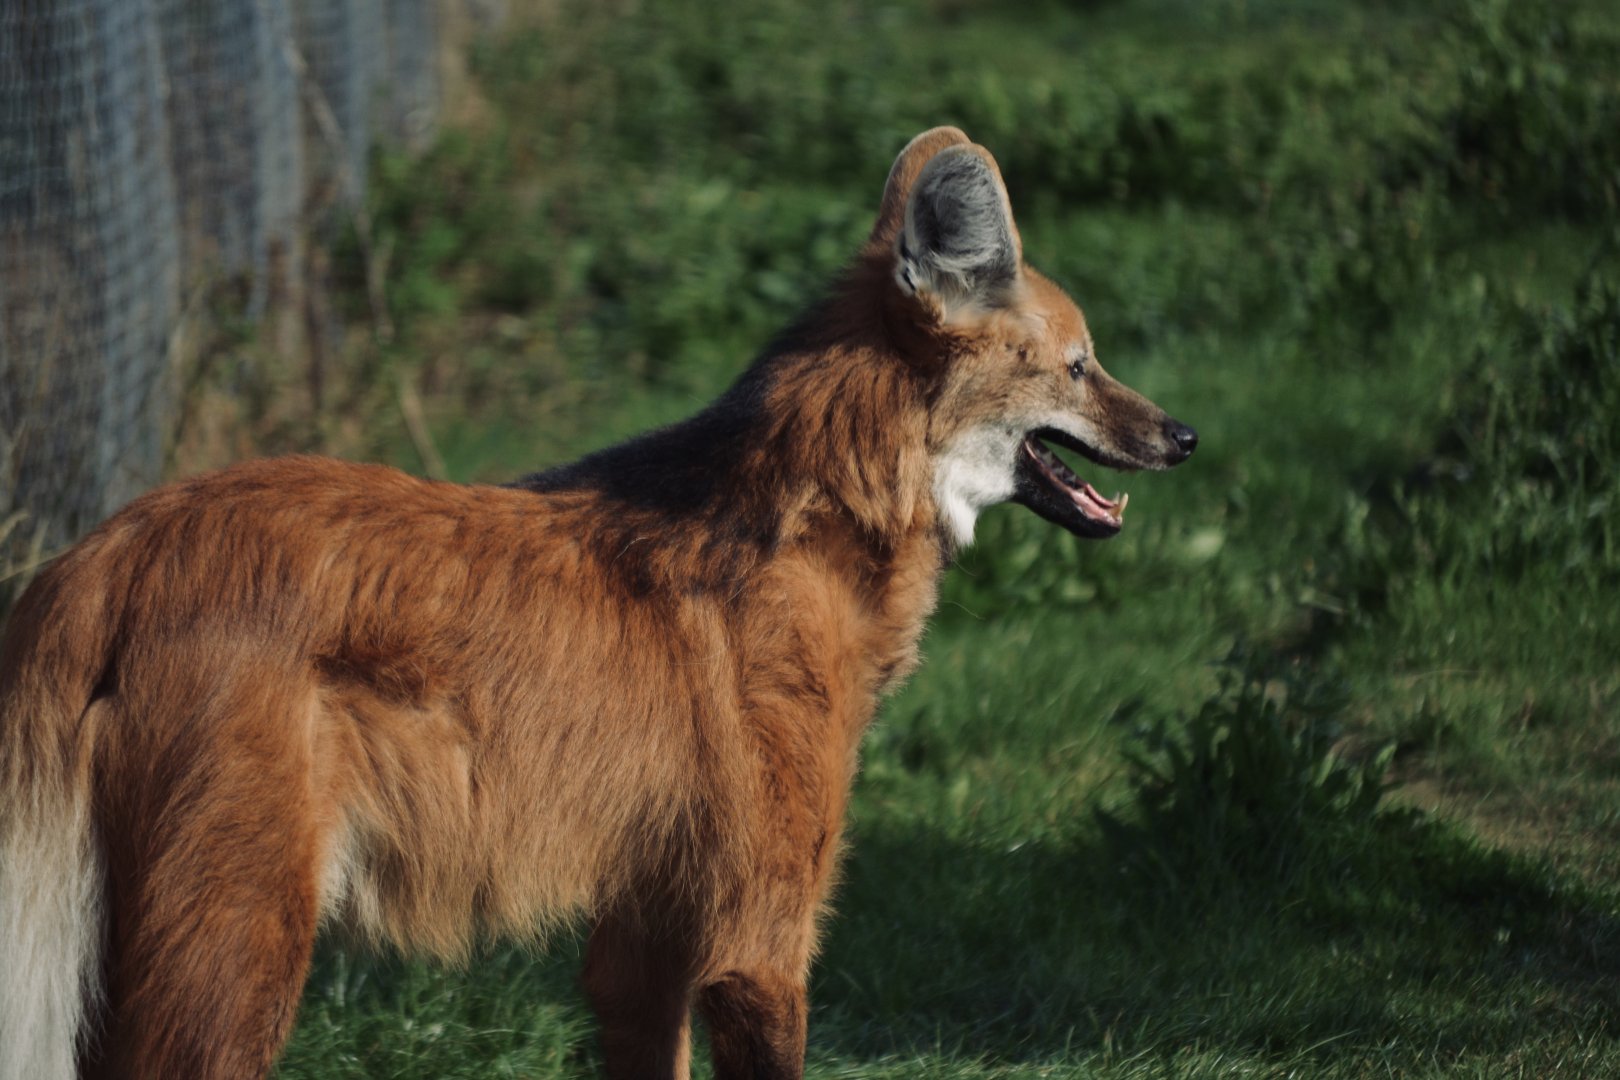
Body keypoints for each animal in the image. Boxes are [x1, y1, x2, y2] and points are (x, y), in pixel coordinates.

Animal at [0, 127, 1195, 1079]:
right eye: (1082, 367)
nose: (1183, 435)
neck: (821, 524)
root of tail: (101, 555)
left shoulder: (646, 945)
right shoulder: (759, 944)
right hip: (237, 947)